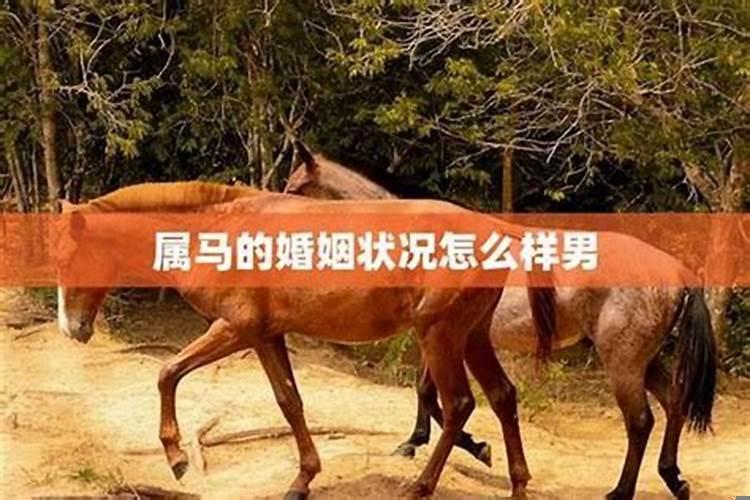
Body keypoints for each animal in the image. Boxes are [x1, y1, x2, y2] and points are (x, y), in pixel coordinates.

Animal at [57, 181, 557, 499]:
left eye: (70, 258)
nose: (72, 329)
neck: (220, 228)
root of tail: (495, 229)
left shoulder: (234, 330)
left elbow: (167, 372)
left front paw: (177, 457)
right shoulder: (267, 337)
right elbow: (290, 402)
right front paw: (303, 480)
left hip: (441, 336)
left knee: (458, 406)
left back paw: (420, 485)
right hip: (471, 336)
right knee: (502, 397)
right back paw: (516, 482)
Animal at [283, 143, 717, 500]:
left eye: (294, 189)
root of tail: (675, 269)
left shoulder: (442, 338)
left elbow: (434, 397)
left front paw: (467, 447)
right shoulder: (442, 338)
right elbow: (428, 393)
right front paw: (428, 442)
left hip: (622, 363)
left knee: (640, 421)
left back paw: (621, 491)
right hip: (643, 359)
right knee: (674, 401)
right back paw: (673, 478)